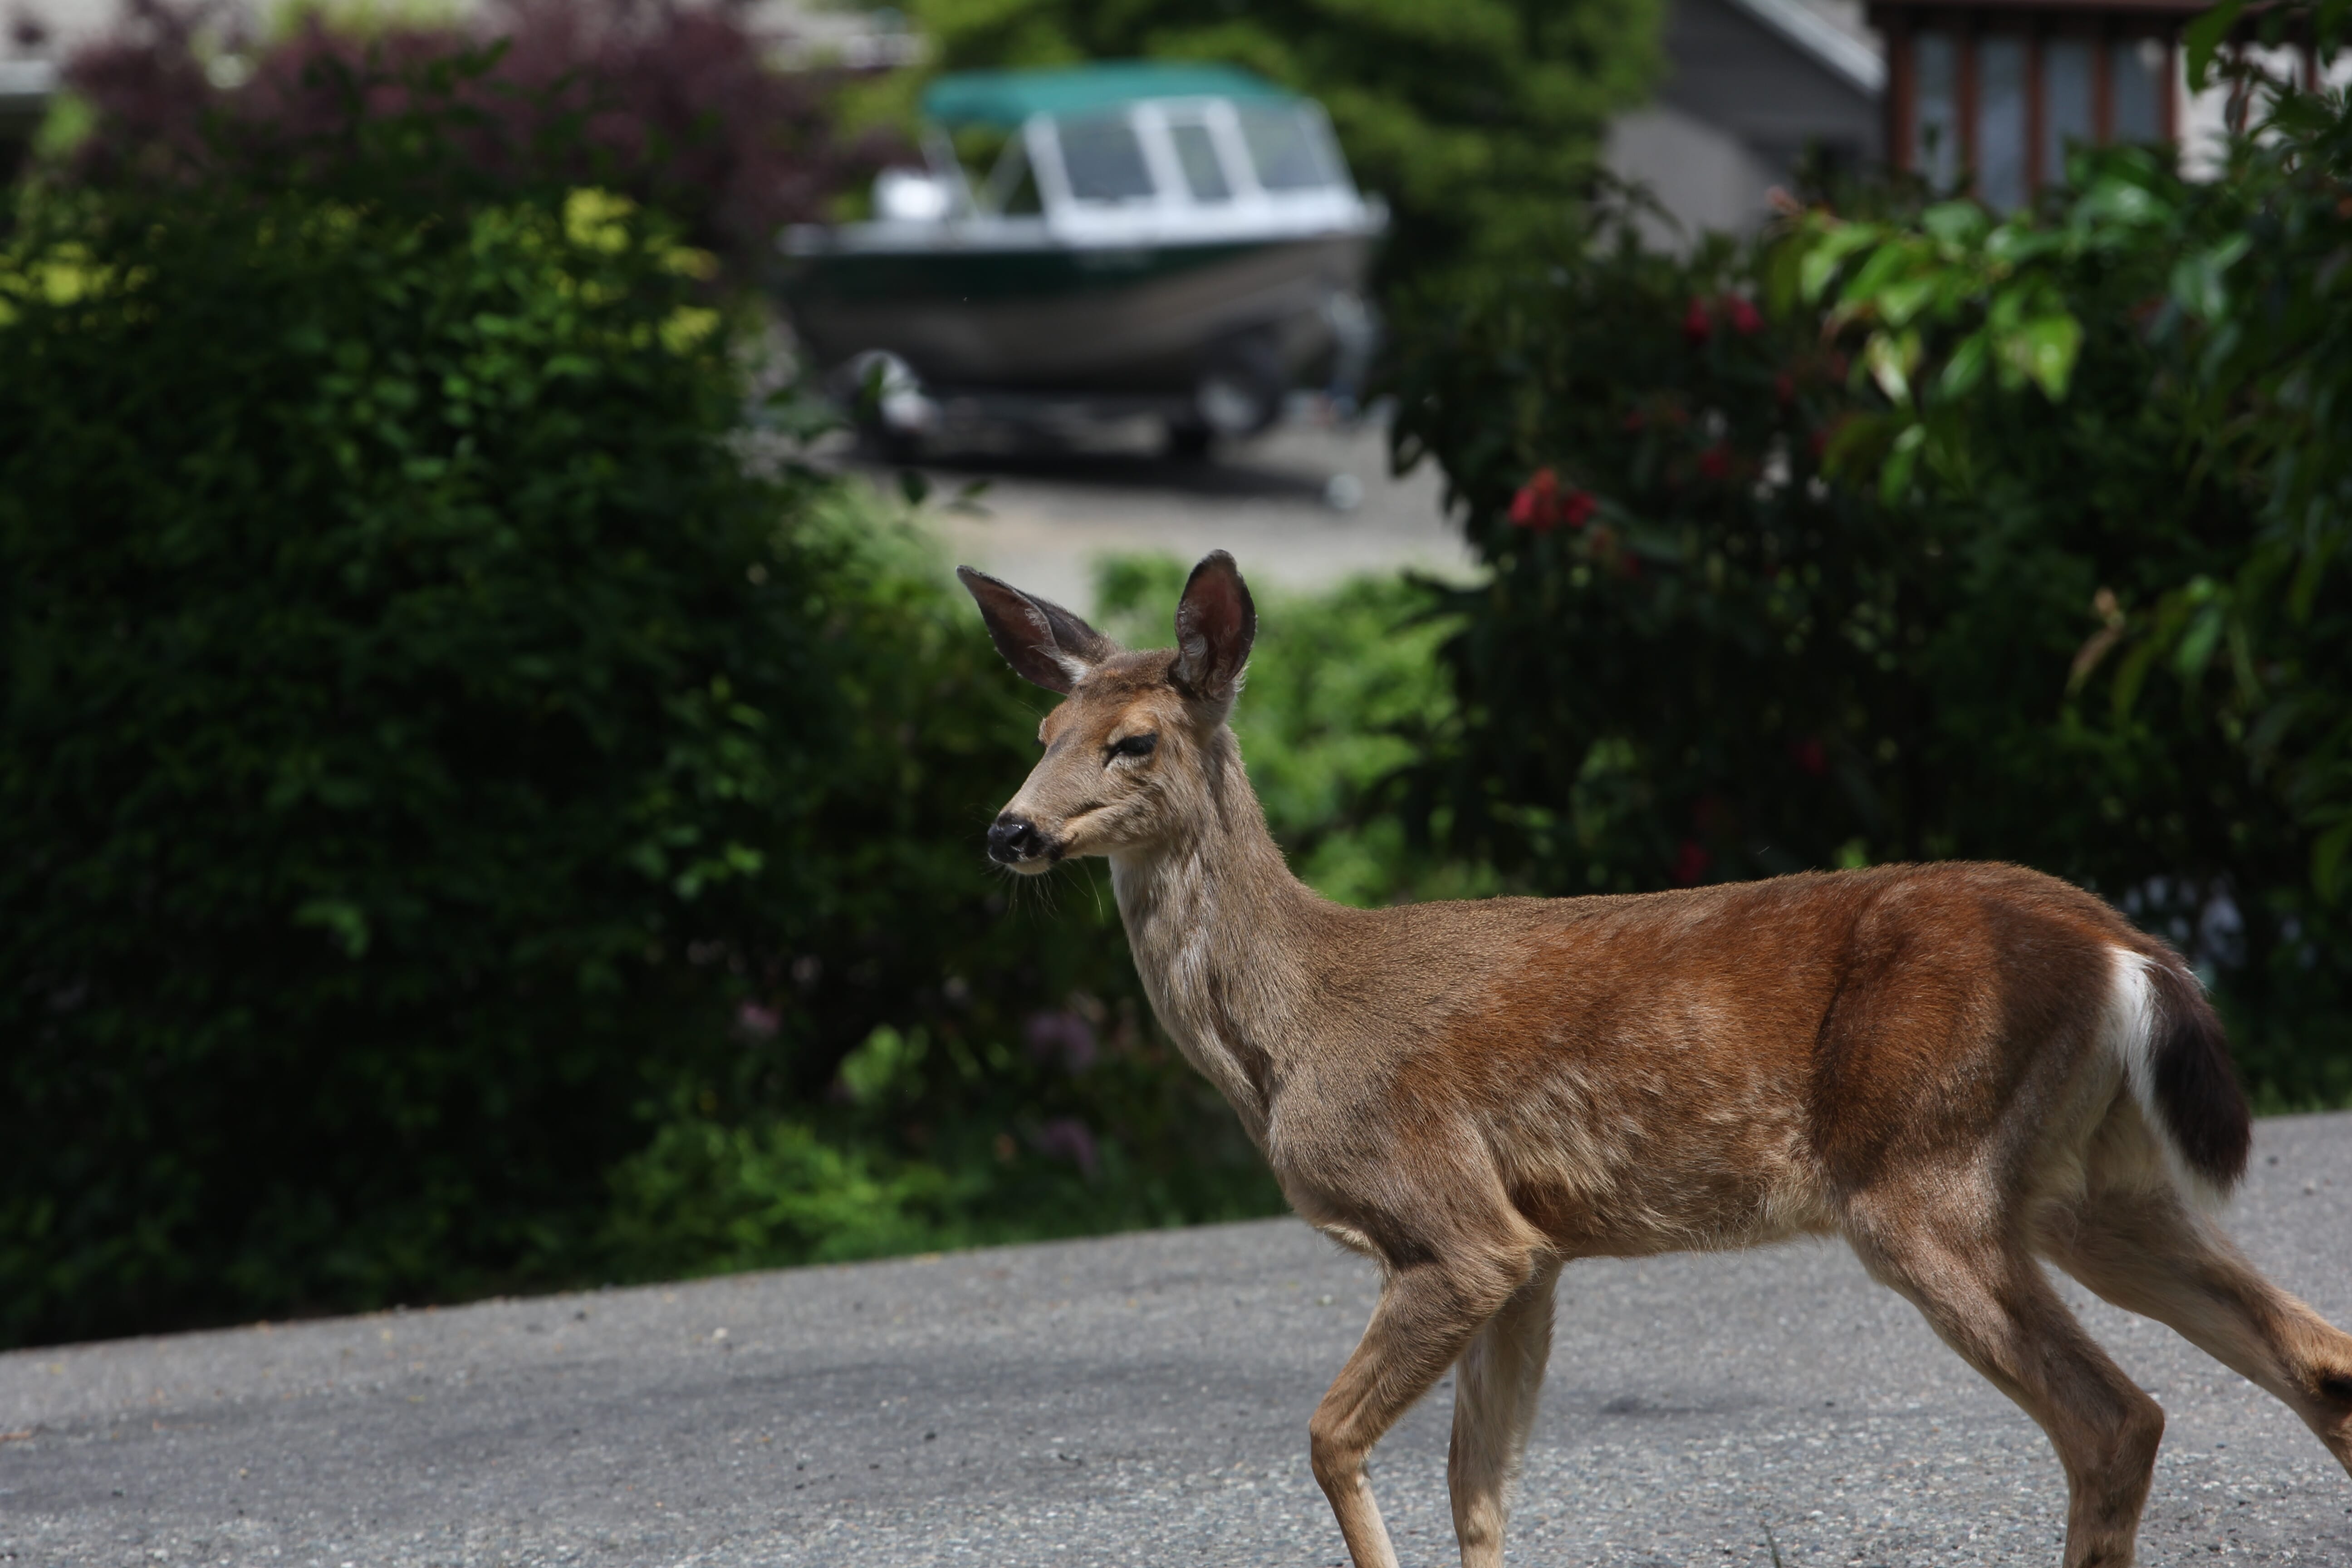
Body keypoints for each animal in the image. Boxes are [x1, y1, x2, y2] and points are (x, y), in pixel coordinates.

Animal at [950, 545, 2352, 1561]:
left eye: (1134, 740)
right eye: (1040, 734)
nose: (1009, 831)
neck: (1294, 1026)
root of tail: (2129, 948)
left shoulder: (1453, 1224)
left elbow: (1330, 1439)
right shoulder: (1535, 1254)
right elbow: (1481, 1491)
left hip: (1924, 1171)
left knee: (2118, 1420)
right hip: (2091, 1183)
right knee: (2317, 1360)